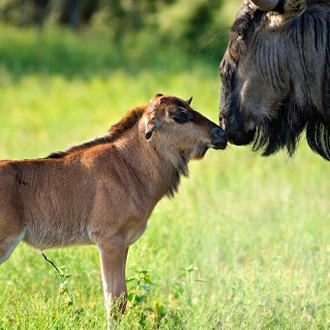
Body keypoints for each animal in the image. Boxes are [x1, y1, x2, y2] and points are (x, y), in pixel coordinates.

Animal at [0, 94, 227, 324]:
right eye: (179, 114)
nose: (222, 134)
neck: (129, 166)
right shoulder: (110, 241)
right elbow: (115, 301)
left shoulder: (123, 243)